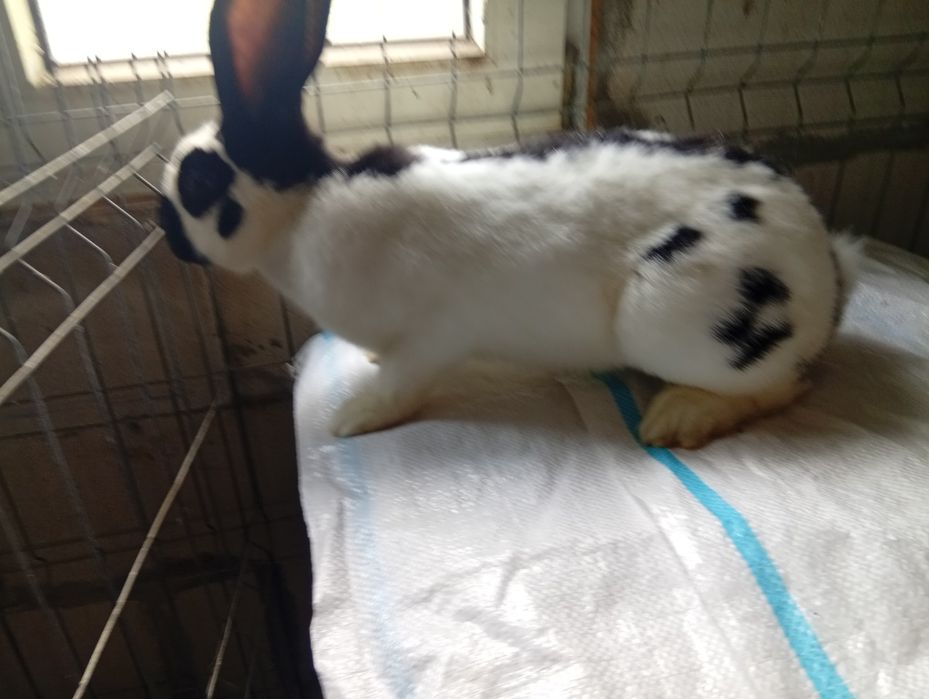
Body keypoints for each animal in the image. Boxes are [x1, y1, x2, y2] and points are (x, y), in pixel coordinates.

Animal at [160, 0, 861, 449]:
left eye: (196, 182)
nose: (167, 235)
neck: (304, 206)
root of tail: (826, 270)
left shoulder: (432, 337)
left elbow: (400, 385)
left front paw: (353, 417)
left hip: (680, 316)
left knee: (784, 386)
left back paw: (680, 418)